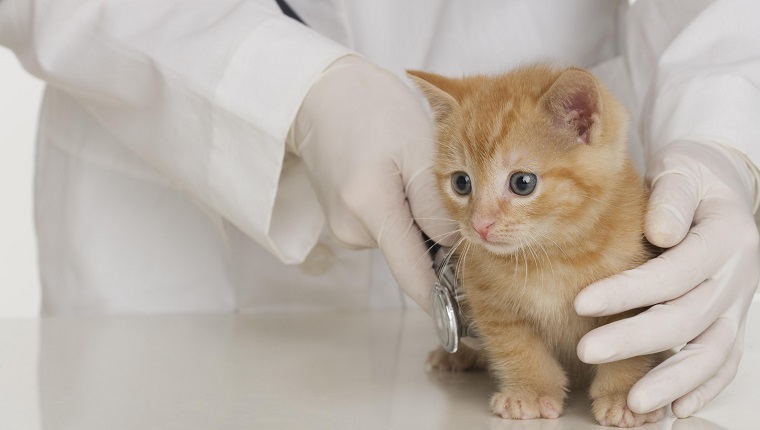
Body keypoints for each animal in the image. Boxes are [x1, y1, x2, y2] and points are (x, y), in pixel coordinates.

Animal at [410, 64, 664, 426]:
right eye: (461, 182)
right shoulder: (489, 300)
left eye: (522, 183)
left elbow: (629, 343)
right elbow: (516, 346)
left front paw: (623, 396)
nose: (479, 225)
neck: (552, 255)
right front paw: (530, 392)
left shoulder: (630, 292)